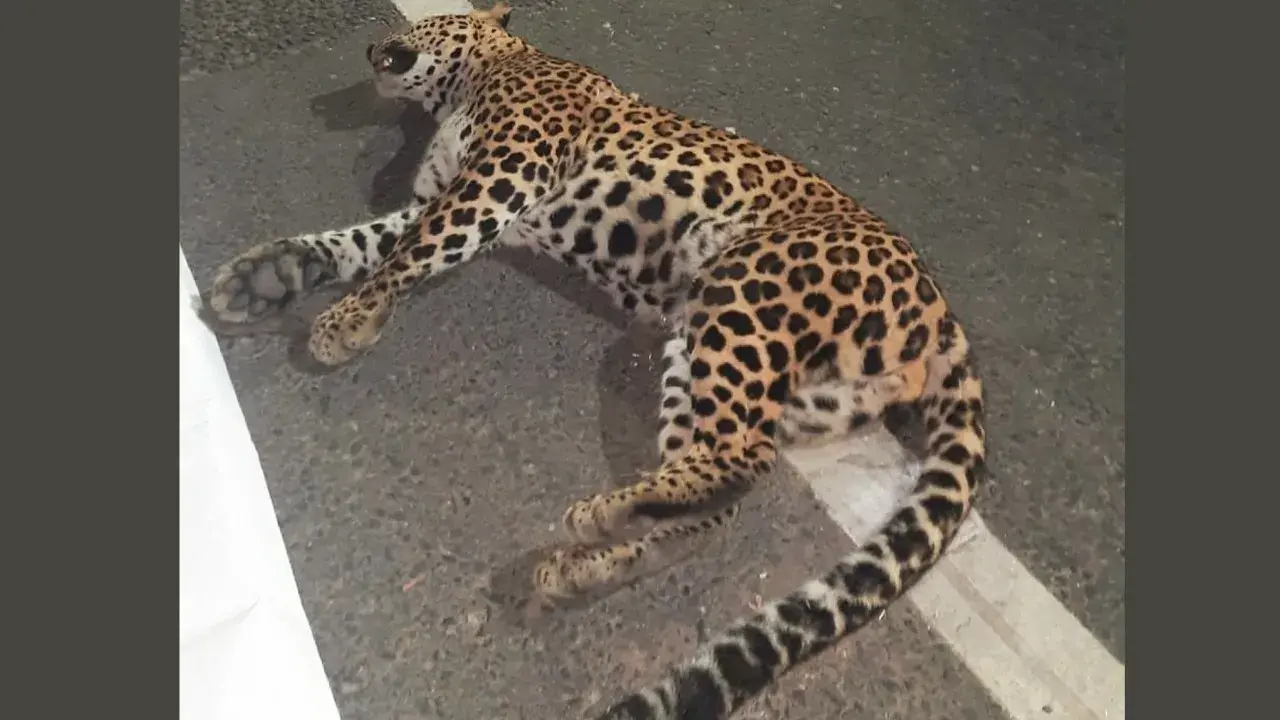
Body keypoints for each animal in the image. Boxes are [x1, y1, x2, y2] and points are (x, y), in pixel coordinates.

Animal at [200, 5, 988, 719]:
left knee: (742, 457)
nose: (369, 47)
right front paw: (266, 278)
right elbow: (364, 241)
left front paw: (347, 321)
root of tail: (940, 308)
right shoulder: (457, 197)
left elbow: (413, 250)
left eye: (415, 25)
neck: (485, 71)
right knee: (719, 503)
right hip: (715, 357)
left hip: (744, 291)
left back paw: (600, 515)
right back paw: (593, 562)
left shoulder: (503, 173)